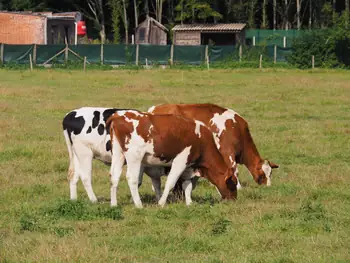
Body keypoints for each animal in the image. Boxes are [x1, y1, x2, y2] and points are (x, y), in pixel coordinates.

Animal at [106, 110, 238, 209]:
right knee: (132, 178)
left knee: (114, 176)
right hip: (135, 156)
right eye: (232, 184)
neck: (201, 140)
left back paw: (114, 204)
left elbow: (187, 185)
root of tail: (118, 115)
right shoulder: (181, 160)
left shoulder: (189, 166)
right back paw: (139, 205)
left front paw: (189, 203)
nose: (234, 200)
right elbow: (170, 182)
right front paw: (161, 203)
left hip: (118, 153)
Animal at [148, 104, 278, 189]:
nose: (268, 187)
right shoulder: (228, 151)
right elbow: (234, 170)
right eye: (262, 174)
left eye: (270, 173)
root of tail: (155, 108)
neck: (237, 129)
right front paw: (238, 187)